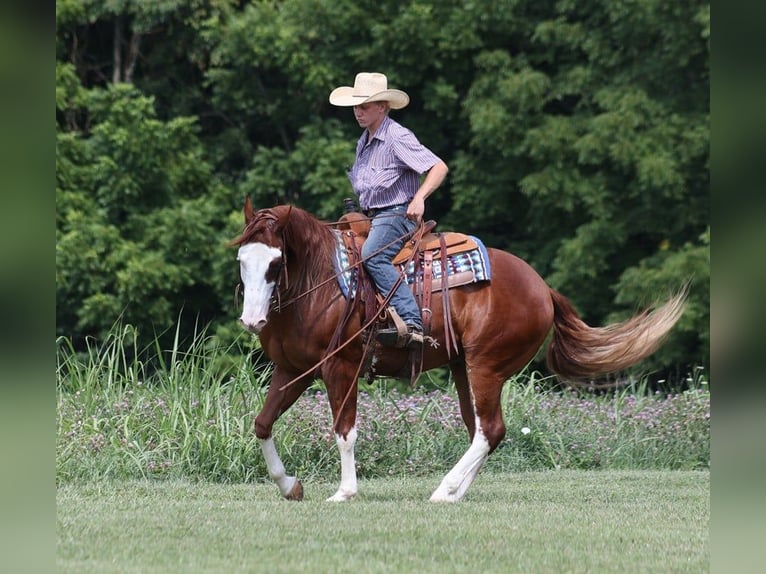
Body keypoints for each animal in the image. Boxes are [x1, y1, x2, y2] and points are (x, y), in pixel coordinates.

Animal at [231, 199, 686, 502]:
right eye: (242, 261)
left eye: (275, 264)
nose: (252, 320)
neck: (321, 281)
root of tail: (543, 289)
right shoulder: (294, 369)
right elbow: (262, 423)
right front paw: (290, 486)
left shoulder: (341, 367)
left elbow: (345, 431)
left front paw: (344, 492)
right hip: (464, 367)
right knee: (482, 429)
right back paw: (455, 492)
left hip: (486, 366)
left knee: (490, 429)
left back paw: (443, 489)